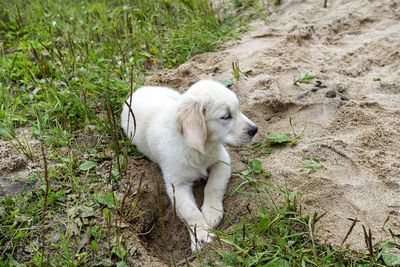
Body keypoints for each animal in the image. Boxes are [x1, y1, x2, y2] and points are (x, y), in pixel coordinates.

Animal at [120, 79, 258, 251]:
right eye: (225, 116)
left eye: (238, 109)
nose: (255, 130)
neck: (199, 147)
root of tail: (139, 90)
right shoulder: (176, 185)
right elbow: (190, 211)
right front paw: (201, 236)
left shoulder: (222, 161)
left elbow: (213, 185)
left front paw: (211, 212)